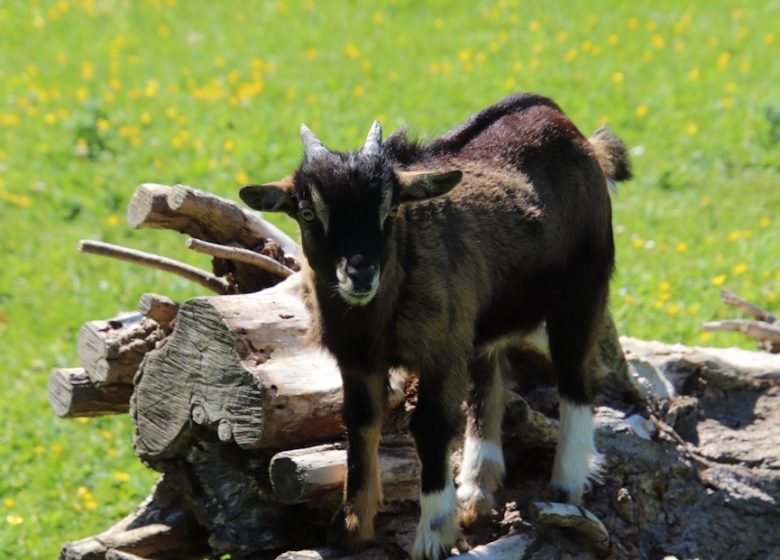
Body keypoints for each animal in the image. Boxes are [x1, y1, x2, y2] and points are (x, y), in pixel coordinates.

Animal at [241, 93, 632, 560]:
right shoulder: (357, 360)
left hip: (583, 291)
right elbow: (358, 421)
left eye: (390, 208)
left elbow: (430, 426)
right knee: (488, 384)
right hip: (481, 321)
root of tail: (570, 127)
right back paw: (476, 490)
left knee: (575, 381)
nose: (360, 274)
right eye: (306, 212)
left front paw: (433, 533)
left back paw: (566, 485)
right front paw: (352, 526)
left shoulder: (439, 351)